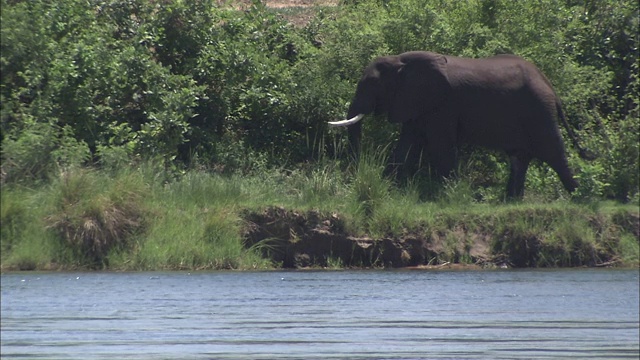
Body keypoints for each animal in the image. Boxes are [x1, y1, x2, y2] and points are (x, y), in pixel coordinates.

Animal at [330, 50, 592, 198]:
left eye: (372, 84)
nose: (359, 170)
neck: (400, 61)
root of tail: (551, 87)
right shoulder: (418, 102)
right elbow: (407, 144)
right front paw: (388, 186)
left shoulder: (443, 103)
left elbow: (440, 146)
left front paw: (451, 193)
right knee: (519, 157)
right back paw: (511, 200)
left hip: (539, 111)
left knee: (553, 152)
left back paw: (580, 196)